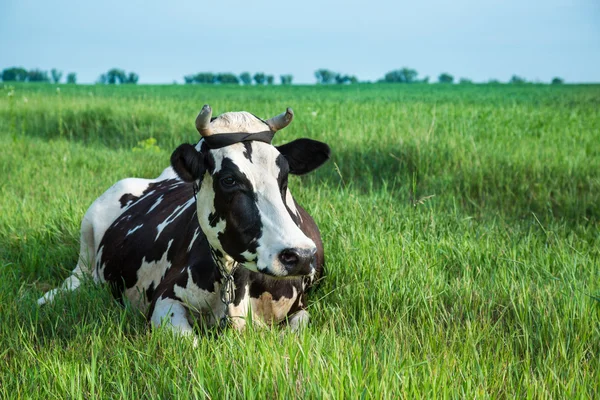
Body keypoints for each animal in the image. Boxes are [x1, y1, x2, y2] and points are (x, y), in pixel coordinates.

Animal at [37, 104, 330, 334]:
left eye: (284, 175)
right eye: (229, 179)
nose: (300, 255)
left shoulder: (300, 308)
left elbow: (294, 332)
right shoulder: (165, 300)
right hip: (87, 236)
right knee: (75, 278)